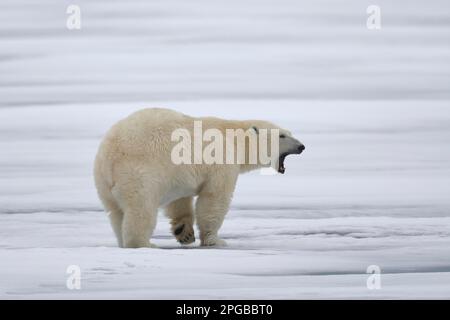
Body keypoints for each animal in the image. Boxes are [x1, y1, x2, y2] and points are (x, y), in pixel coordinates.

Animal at [93, 109, 304, 249]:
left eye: (289, 132)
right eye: (282, 135)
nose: (301, 146)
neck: (234, 137)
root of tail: (108, 158)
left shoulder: (178, 173)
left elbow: (179, 200)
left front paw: (184, 233)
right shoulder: (221, 162)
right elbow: (214, 199)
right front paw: (215, 240)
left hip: (103, 185)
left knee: (115, 213)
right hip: (138, 173)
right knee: (140, 209)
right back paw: (144, 244)